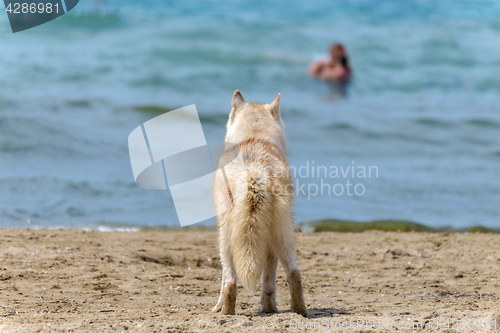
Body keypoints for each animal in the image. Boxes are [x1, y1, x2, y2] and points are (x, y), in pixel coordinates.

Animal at [212, 89, 306, 316]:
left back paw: (227, 314)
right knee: (294, 274)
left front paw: (217, 307)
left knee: (230, 283)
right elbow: (269, 283)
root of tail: (254, 171)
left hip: (225, 241)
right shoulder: (269, 246)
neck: (254, 137)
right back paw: (299, 313)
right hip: (282, 235)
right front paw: (268, 307)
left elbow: (223, 283)